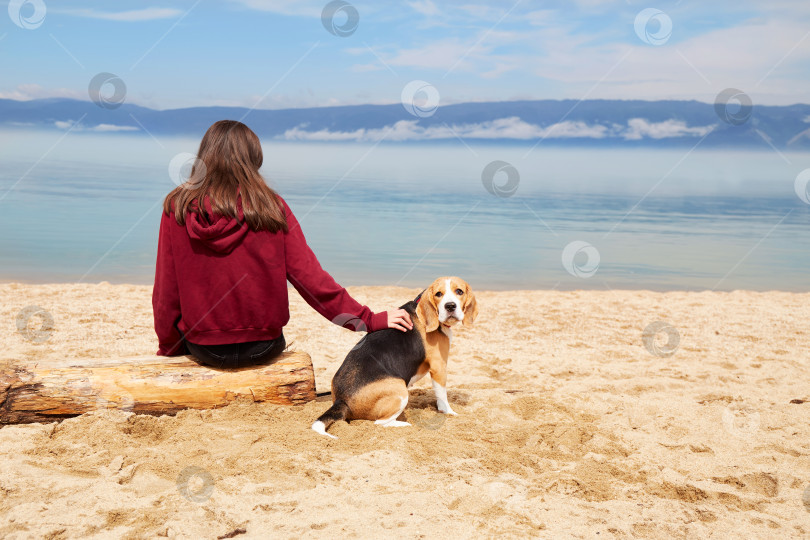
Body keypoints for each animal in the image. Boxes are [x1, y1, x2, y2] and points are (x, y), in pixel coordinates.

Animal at [310, 276, 474, 436]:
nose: (450, 306)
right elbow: (442, 395)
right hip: (400, 390)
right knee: (380, 423)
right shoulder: (439, 366)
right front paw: (448, 412)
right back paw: (403, 424)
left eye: (459, 291)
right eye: (438, 294)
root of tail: (341, 401)